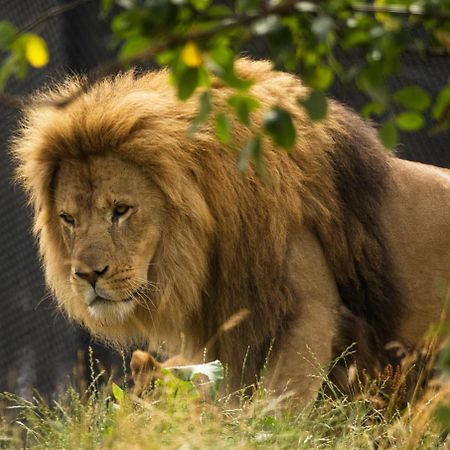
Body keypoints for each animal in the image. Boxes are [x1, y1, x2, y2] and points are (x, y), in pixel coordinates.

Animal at [10, 59, 450, 404]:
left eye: (121, 210)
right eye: (69, 219)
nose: (88, 275)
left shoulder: (310, 311)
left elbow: (276, 406)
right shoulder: (238, 330)